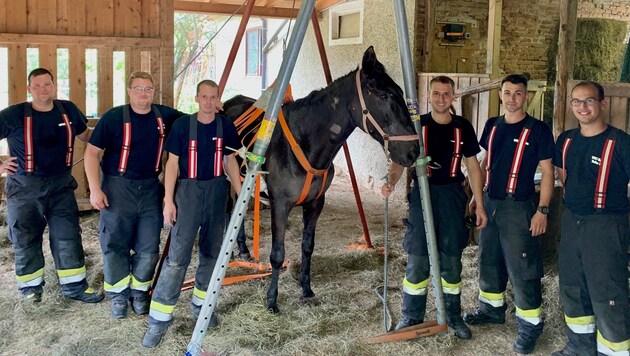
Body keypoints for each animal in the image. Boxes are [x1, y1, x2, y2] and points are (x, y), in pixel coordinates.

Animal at [225, 46, 422, 312]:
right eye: (383, 95)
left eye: (402, 93)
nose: (413, 150)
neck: (304, 142)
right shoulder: (280, 204)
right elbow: (277, 253)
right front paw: (272, 300)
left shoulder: (316, 202)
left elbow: (307, 247)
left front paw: (306, 290)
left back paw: (244, 249)